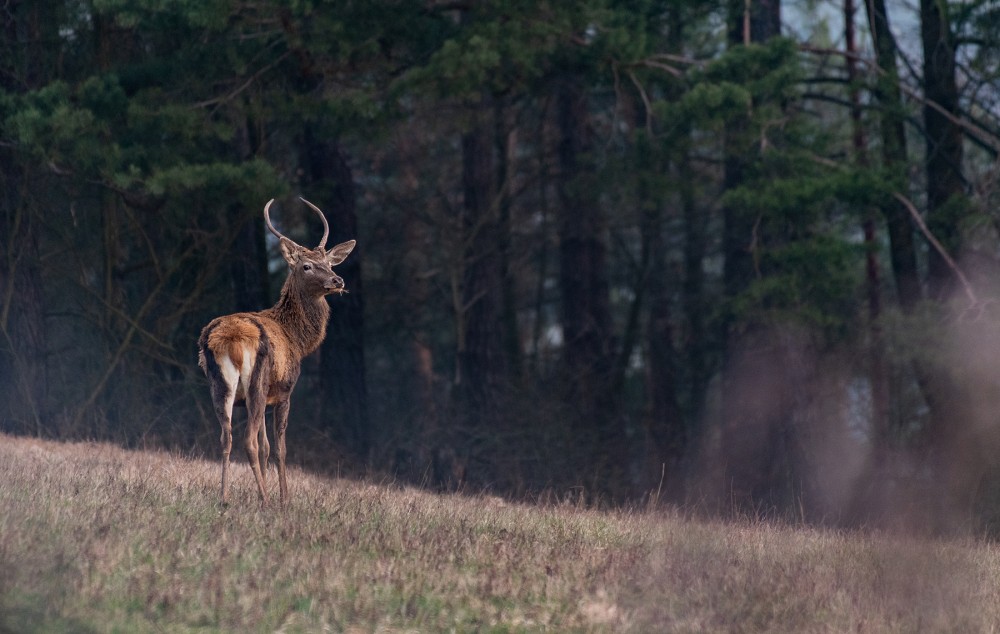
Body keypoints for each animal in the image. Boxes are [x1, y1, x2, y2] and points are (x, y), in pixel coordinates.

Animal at [198, 199, 356, 508]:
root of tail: (230, 340)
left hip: (219, 386)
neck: (298, 340)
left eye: (329, 262)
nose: (337, 280)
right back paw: (267, 501)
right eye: (306, 266)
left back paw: (225, 498)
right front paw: (284, 499)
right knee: (247, 441)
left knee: (226, 438)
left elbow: (266, 447)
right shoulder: (284, 392)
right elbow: (280, 448)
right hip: (257, 383)